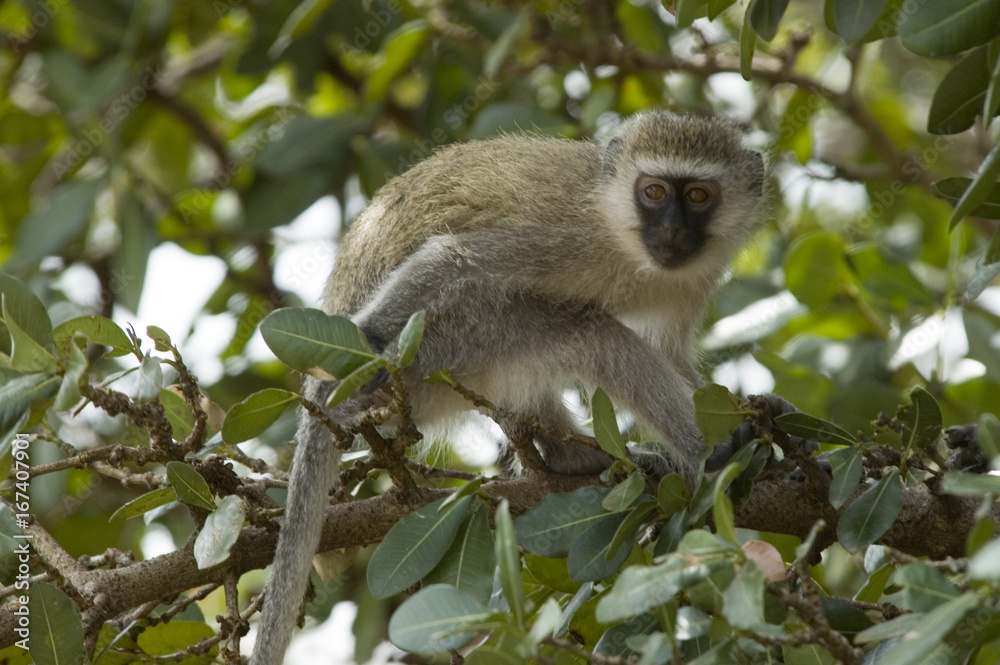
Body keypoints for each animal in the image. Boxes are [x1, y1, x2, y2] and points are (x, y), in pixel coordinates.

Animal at [250, 111, 766, 664]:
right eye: (653, 191)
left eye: (698, 196)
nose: (670, 227)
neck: (626, 240)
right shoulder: (564, 234)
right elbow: (453, 258)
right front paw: (366, 342)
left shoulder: (696, 278)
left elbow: (671, 353)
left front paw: (769, 416)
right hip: (447, 342)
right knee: (592, 334)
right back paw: (701, 453)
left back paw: (575, 460)